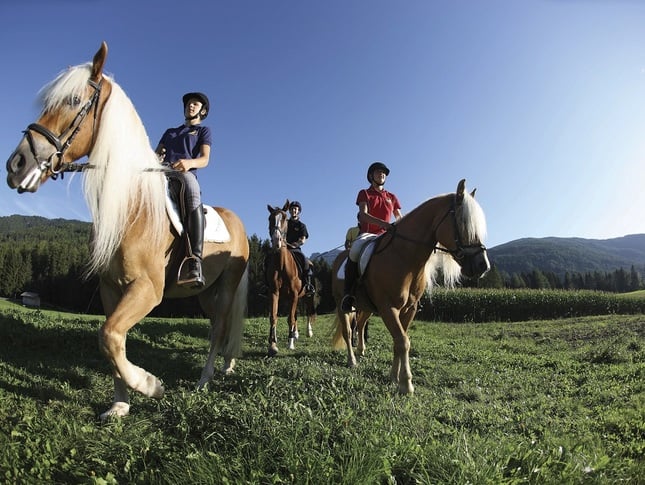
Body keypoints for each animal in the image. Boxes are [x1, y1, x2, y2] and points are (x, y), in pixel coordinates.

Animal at [4, 42, 249, 420]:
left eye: (74, 100)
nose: (17, 165)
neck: (132, 209)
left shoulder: (148, 289)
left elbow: (108, 335)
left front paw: (150, 385)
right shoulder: (111, 288)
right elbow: (112, 339)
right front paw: (120, 403)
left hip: (227, 286)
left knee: (220, 329)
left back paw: (204, 380)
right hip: (206, 291)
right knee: (215, 329)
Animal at [266, 200, 306, 356]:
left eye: (284, 218)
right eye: (270, 219)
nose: (276, 241)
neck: (283, 265)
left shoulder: (294, 295)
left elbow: (290, 318)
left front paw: (290, 343)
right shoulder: (274, 292)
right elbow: (273, 316)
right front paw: (272, 345)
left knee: (294, 317)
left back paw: (295, 335)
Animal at [332, 180, 488, 396]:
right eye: (464, 223)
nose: (483, 266)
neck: (403, 256)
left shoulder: (409, 309)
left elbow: (399, 341)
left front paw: (393, 377)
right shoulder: (388, 308)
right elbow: (403, 342)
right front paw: (406, 383)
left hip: (366, 306)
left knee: (361, 325)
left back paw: (361, 351)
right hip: (342, 305)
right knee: (348, 332)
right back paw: (352, 360)